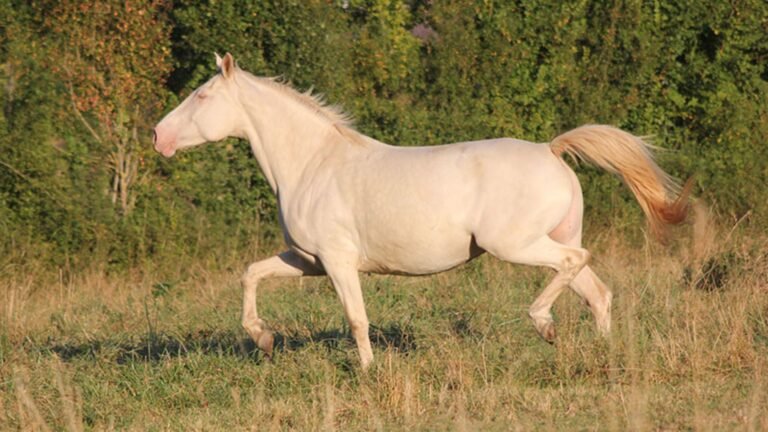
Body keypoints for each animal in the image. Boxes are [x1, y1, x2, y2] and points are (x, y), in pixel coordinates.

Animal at [154, 53, 691, 369]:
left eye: (202, 95)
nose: (158, 136)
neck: (313, 163)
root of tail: (550, 150)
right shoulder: (308, 261)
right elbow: (251, 274)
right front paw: (262, 339)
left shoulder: (338, 263)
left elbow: (357, 319)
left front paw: (368, 373)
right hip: (551, 238)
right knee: (597, 291)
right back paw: (600, 353)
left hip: (516, 244)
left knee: (575, 267)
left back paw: (544, 324)